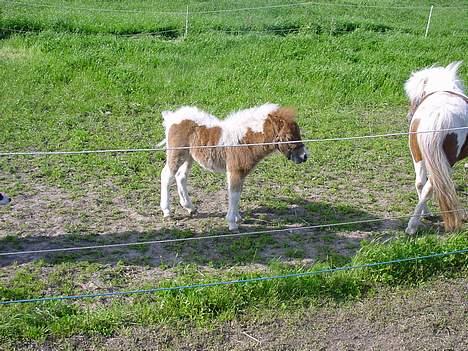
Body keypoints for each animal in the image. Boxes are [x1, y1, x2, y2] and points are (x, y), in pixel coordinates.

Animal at [404, 62, 466, 235]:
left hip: (417, 154)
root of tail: (439, 116)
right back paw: (412, 226)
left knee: (420, 183)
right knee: (430, 186)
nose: (409, 115)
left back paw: (424, 214)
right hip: (446, 161)